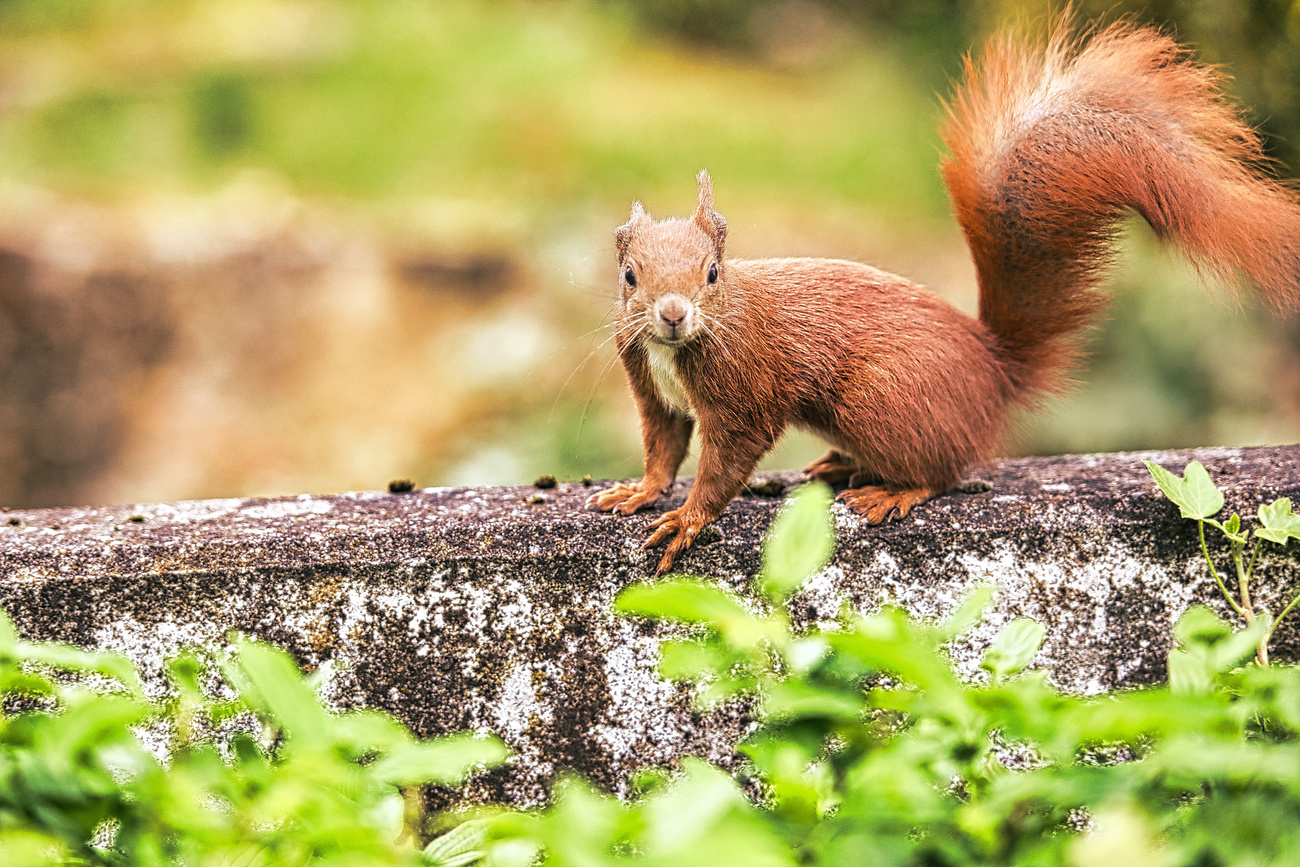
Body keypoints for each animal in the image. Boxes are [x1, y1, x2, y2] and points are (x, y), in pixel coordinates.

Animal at [587, 19, 1300, 576]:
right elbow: (664, 447)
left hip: (882, 400)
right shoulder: (654, 390)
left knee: (944, 471)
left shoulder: (744, 389)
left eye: (712, 274)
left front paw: (686, 519)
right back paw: (842, 468)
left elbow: (726, 461)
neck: (683, 345)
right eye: (629, 277)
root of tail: (993, 371)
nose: (672, 314)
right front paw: (638, 492)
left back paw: (890, 492)